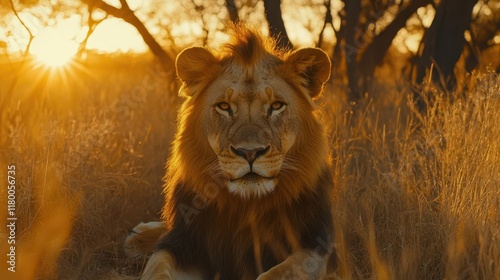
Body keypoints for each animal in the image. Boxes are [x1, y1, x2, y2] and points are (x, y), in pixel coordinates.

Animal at [125, 25, 336, 278]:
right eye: (224, 107)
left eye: (276, 106)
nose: (250, 153)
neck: (247, 205)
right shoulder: (183, 245)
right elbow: (157, 268)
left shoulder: (316, 246)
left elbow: (278, 273)